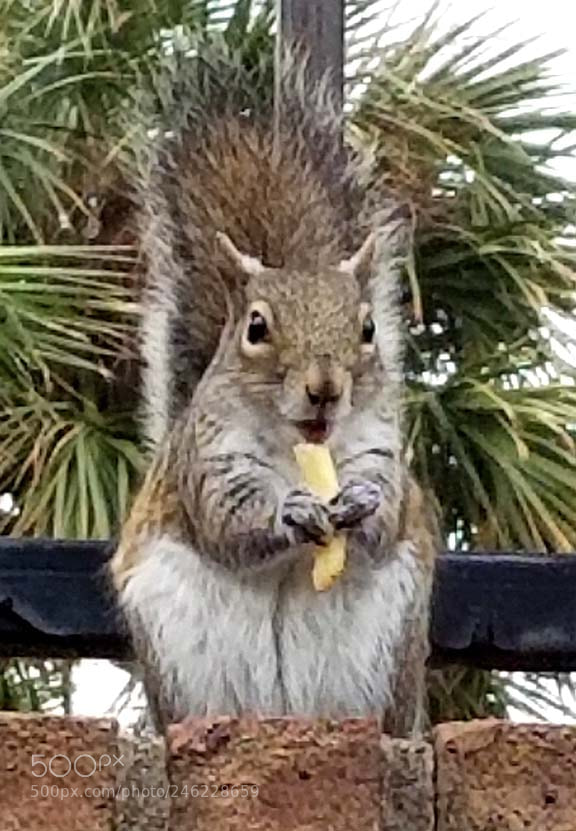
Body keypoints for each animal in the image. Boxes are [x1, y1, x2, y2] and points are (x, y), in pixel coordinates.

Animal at [110, 50, 438, 738]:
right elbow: (228, 519)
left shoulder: (379, 446)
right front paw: (289, 513)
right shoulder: (209, 460)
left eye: (368, 328)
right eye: (256, 328)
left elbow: (388, 508)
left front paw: (362, 501)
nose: (325, 388)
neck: (300, 448)